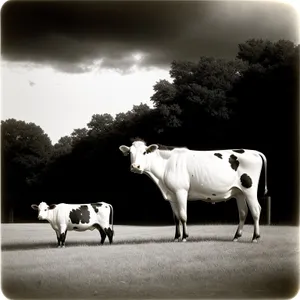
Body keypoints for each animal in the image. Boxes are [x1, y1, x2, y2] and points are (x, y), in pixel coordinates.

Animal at [118, 139, 268, 243]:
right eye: (130, 153)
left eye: (144, 152)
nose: (135, 166)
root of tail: (253, 151)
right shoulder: (172, 195)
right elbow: (176, 218)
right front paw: (176, 237)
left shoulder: (181, 191)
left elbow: (183, 215)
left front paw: (185, 237)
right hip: (239, 192)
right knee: (243, 213)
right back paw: (236, 236)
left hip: (249, 189)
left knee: (256, 210)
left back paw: (255, 237)